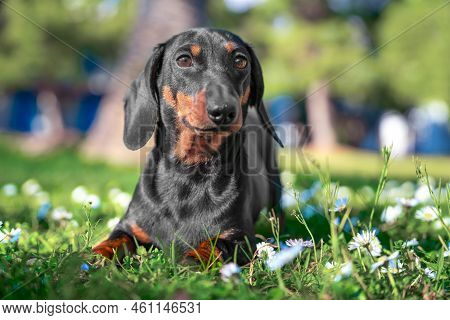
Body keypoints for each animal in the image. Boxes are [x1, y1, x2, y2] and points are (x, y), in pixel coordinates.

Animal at [92, 28, 284, 264]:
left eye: (240, 61)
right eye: (184, 60)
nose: (224, 110)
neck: (189, 171)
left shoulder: (238, 237)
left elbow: (213, 244)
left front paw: (191, 259)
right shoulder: (130, 227)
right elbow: (113, 241)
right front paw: (92, 257)